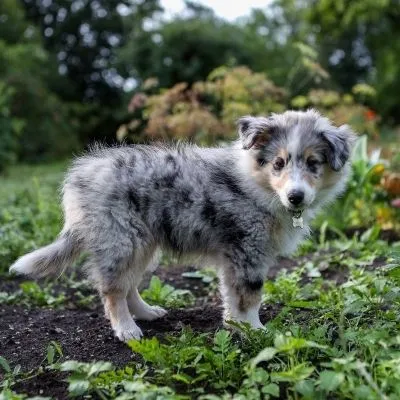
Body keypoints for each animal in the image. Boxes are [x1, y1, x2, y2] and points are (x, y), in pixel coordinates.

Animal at [9, 108, 354, 340]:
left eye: (313, 163)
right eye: (278, 163)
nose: (296, 197)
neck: (258, 185)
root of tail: (80, 177)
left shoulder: (236, 257)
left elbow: (233, 296)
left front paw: (236, 326)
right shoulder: (248, 251)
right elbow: (250, 295)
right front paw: (257, 330)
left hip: (144, 244)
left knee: (129, 284)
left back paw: (147, 313)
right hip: (121, 240)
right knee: (112, 290)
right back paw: (127, 329)